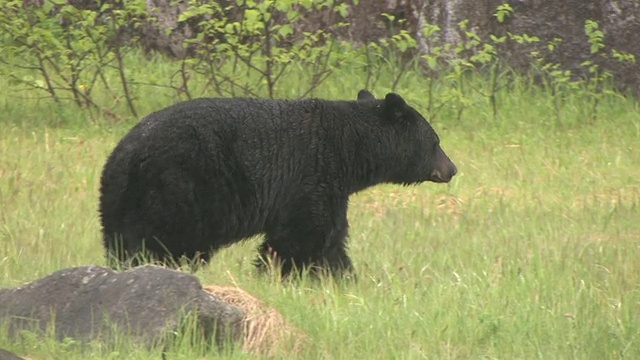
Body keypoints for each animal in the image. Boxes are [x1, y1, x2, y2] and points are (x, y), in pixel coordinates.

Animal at [99, 90, 456, 276]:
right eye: (436, 141)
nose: (452, 169)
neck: (348, 146)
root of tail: (124, 154)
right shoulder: (313, 173)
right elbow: (307, 233)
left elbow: (328, 237)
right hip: (176, 186)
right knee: (163, 239)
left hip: (123, 199)